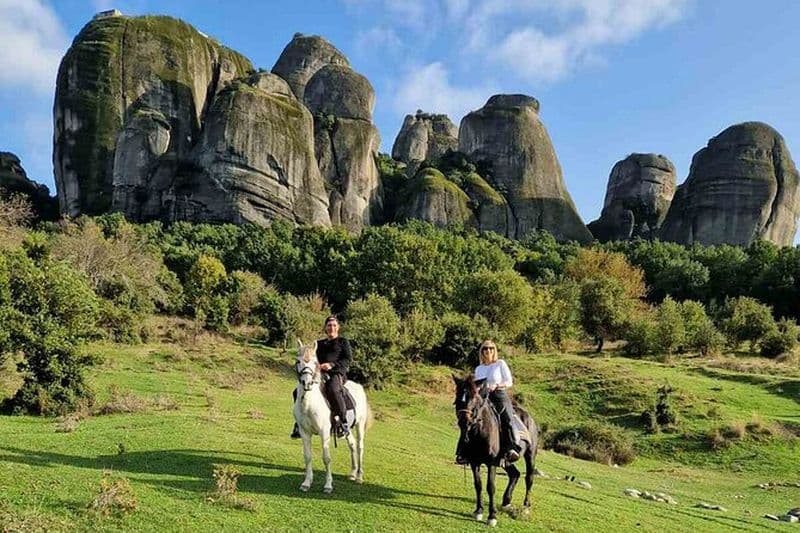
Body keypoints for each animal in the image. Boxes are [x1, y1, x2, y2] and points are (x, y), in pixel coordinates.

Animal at [293, 340, 369, 493]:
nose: (307, 383)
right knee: (352, 444)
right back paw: (352, 474)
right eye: (298, 361)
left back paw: (359, 476)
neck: (310, 403)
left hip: (360, 425)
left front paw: (328, 485)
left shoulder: (324, 432)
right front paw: (306, 483)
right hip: (347, 429)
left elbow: (326, 458)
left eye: (315, 362)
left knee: (359, 447)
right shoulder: (304, 432)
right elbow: (307, 457)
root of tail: (358, 386)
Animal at [453, 374, 538, 527]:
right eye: (457, 398)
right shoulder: (474, 462)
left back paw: (526, 506)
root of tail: (529, 418)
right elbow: (478, 485)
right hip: (507, 460)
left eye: (474, 398)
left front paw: (492, 516)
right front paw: (478, 511)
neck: (479, 432)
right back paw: (506, 501)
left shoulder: (491, 462)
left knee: (529, 478)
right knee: (515, 474)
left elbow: (490, 487)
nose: (464, 422)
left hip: (530, 455)